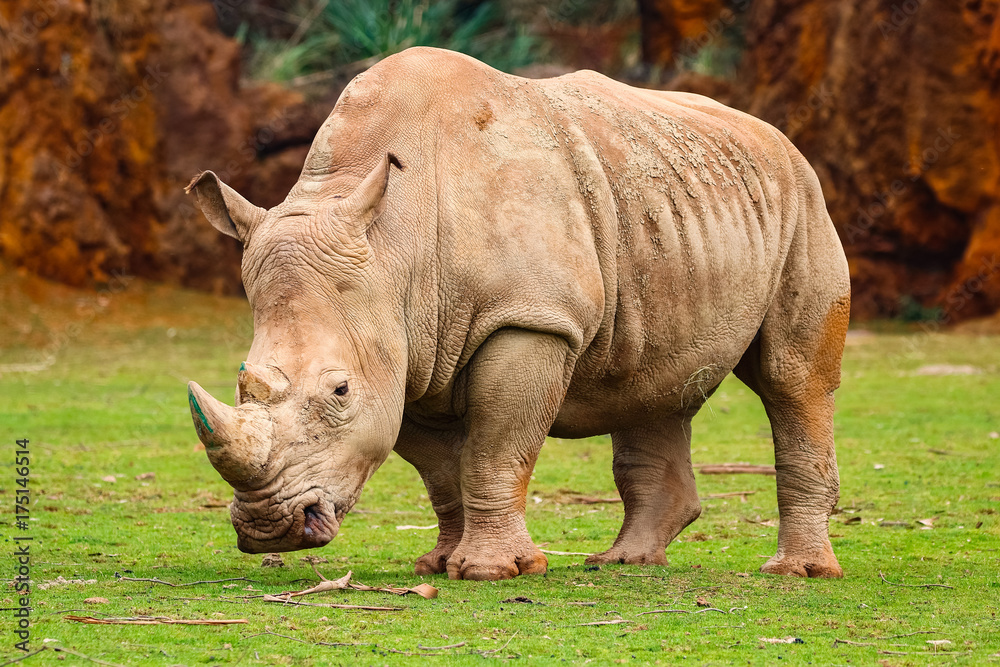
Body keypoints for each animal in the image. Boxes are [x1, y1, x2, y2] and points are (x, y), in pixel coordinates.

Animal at [186, 47, 850, 581]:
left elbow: (496, 449)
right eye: (241, 381)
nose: (269, 527)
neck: (395, 247)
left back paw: (797, 573)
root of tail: (772, 135)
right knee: (653, 379)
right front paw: (438, 564)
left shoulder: (530, 317)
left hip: (803, 198)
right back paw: (626, 563)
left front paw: (492, 571)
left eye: (340, 391)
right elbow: (442, 472)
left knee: (793, 379)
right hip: (680, 207)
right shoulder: (409, 352)